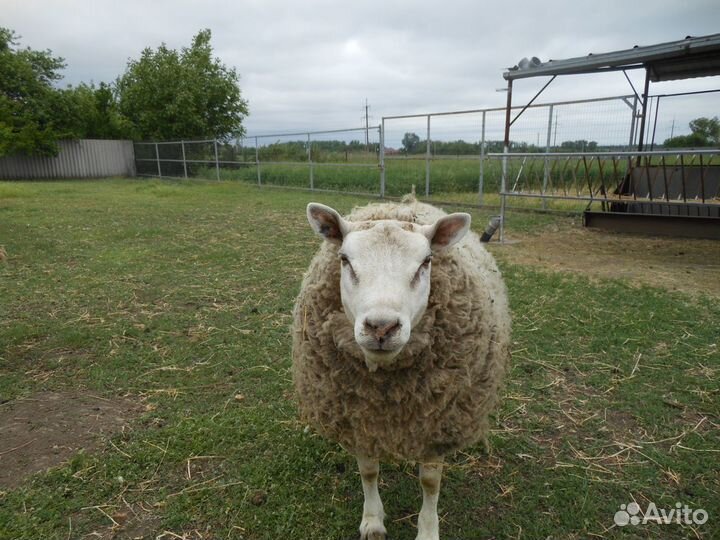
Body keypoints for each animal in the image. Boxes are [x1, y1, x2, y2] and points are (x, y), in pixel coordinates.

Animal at [290, 198, 510, 540]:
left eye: (426, 262)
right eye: (345, 260)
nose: (381, 327)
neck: (388, 396)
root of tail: (407, 202)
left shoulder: (436, 421)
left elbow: (430, 482)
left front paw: (428, 530)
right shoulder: (359, 418)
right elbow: (368, 471)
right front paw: (372, 521)